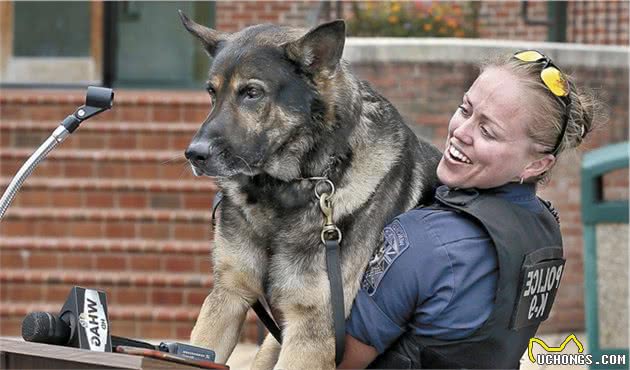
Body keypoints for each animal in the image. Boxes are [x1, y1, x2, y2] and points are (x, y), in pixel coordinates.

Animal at [180, 11, 442, 370]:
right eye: (212, 92)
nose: (194, 154)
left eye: (251, 93)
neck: (284, 189)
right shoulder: (229, 296)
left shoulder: (311, 330)